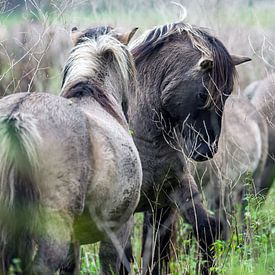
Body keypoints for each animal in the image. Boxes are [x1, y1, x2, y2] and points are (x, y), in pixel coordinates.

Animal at [96, 20, 250, 274]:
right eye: (203, 94)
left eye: (227, 94)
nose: (206, 151)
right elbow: (122, 256)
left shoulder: (171, 199)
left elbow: (205, 231)